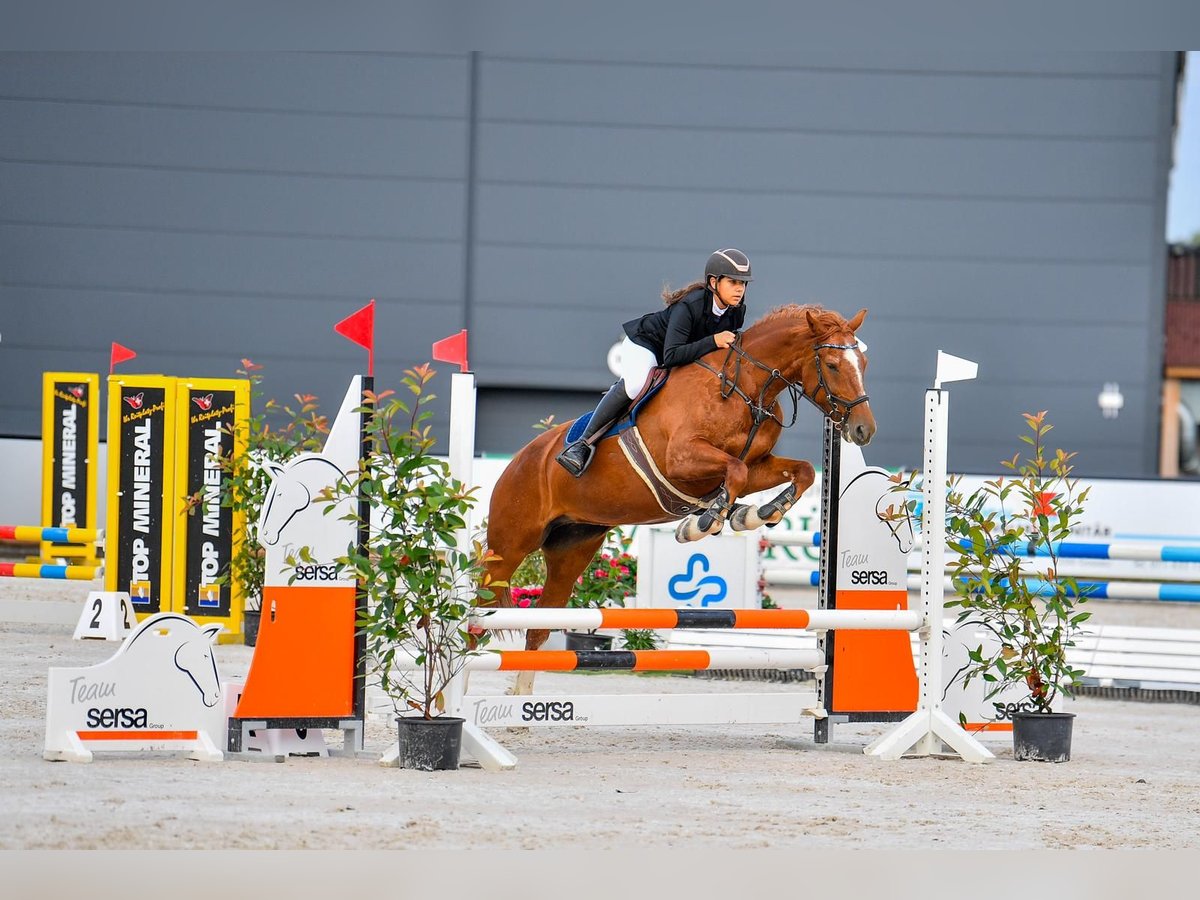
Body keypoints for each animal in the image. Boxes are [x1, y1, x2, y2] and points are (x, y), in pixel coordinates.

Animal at [484, 307, 873, 696]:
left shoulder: (757, 466)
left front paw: (756, 514)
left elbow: (799, 472)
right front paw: (702, 523)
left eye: (864, 363)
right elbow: (734, 473)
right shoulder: (682, 459)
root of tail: (521, 458)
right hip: (509, 547)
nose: (864, 430)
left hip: (573, 547)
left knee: (539, 624)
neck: (746, 388)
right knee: (480, 612)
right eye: (833, 365)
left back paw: (522, 699)